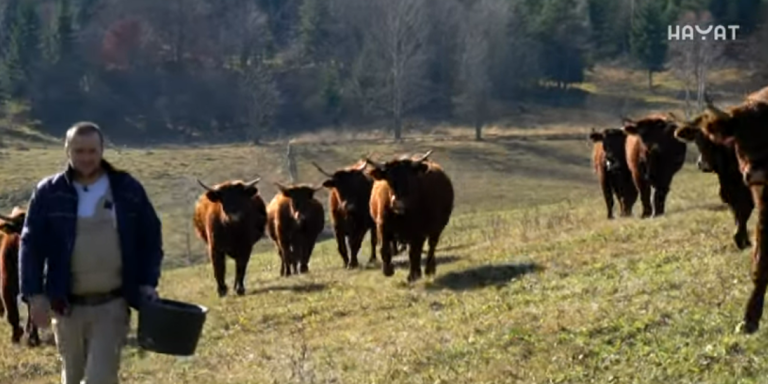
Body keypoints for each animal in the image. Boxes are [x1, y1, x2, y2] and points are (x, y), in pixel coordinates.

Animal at [364, 150, 452, 282]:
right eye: (389, 180)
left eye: (410, 179)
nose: (398, 204)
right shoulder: (382, 225)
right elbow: (384, 248)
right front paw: (388, 270)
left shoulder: (418, 231)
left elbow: (414, 253)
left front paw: (413, 275)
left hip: (437, 228)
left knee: (431, 246)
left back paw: (429, 269)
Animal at [676, 120, 752, 250]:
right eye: (697, 141)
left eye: (714, 138)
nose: (703, 164)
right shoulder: (731, 194)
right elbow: (738, 215)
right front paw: (743, 241)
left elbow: (743, 213)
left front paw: (742, 241)